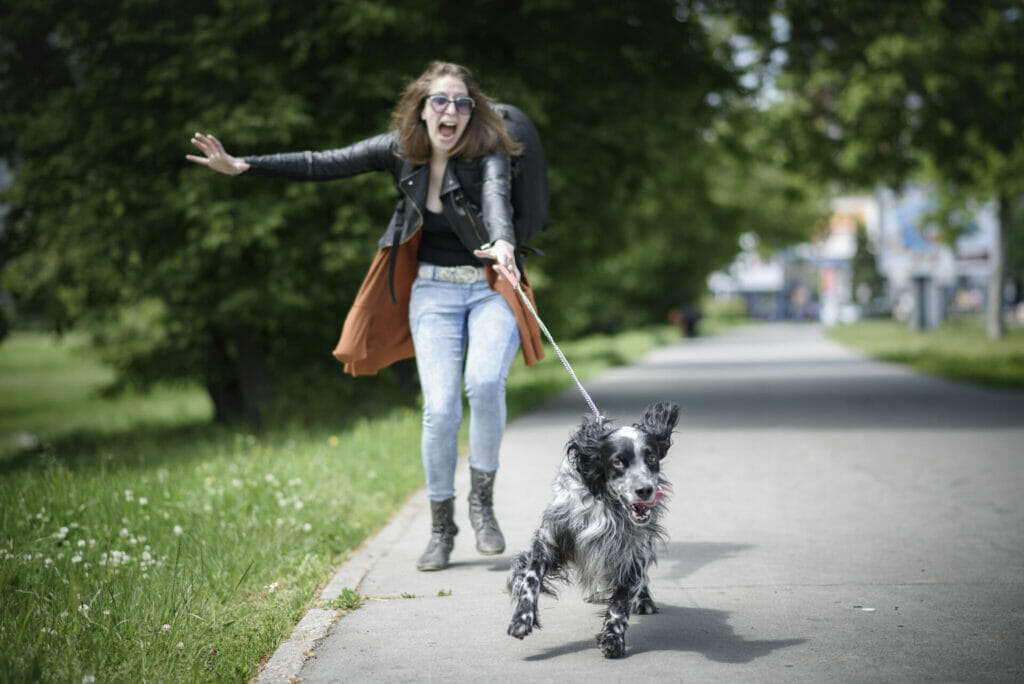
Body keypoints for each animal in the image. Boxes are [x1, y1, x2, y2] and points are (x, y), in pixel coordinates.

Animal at [505, 401, 679, 655]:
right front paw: (522, 618)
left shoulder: (631, 551)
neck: (605, 502)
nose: (645, 490)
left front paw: (613, 637)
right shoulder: (550, 538)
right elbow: (529, 578)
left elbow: (621, 600)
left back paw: (644, 600)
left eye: (652, 458)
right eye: (618, 461)